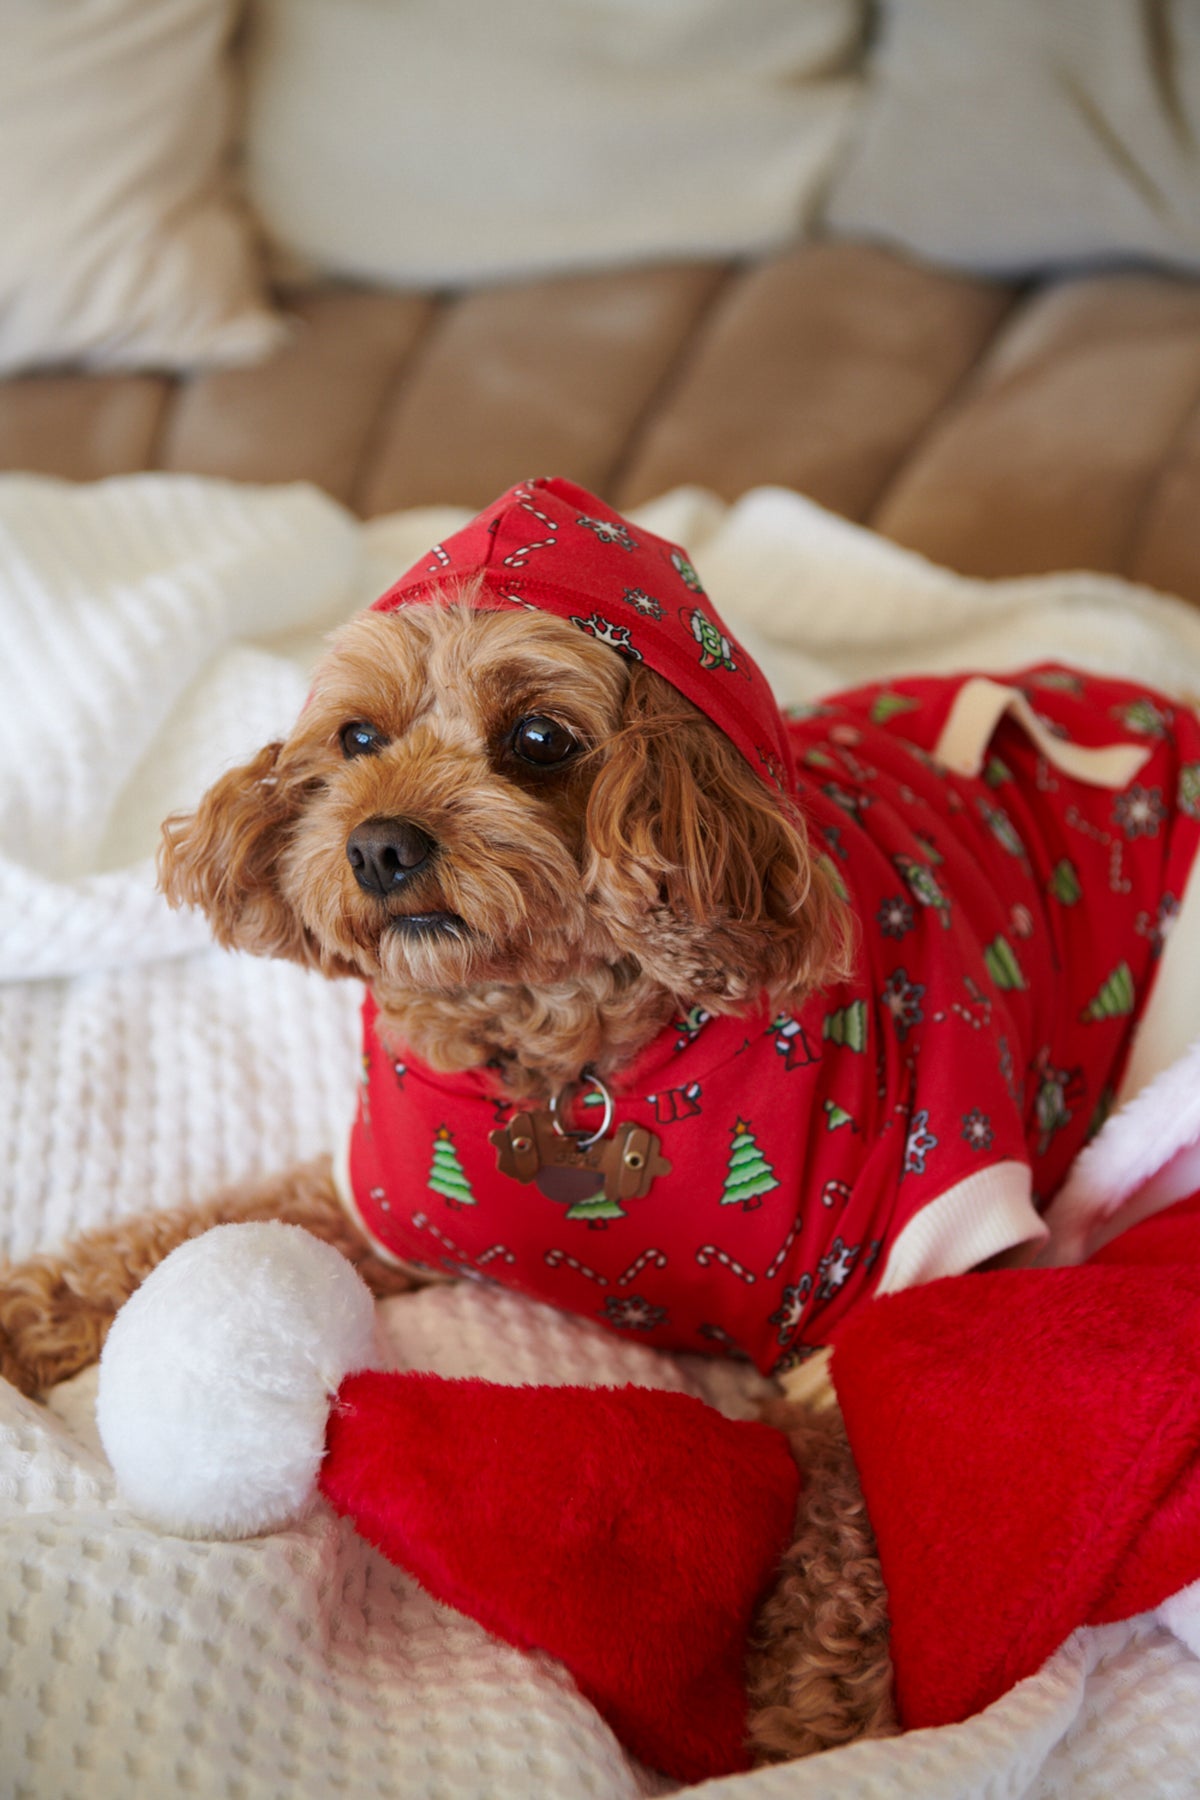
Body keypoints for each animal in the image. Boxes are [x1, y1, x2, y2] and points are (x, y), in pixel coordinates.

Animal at [2, 475, 1200, 1756]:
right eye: (358, 737)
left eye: (539, 741)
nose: (379, 845)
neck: (571, 1068)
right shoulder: (391, 1199)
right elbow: (185, 1229)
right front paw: (31, 1306)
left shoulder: (902, 1262)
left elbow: (852, 1481)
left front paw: (812, 1695)